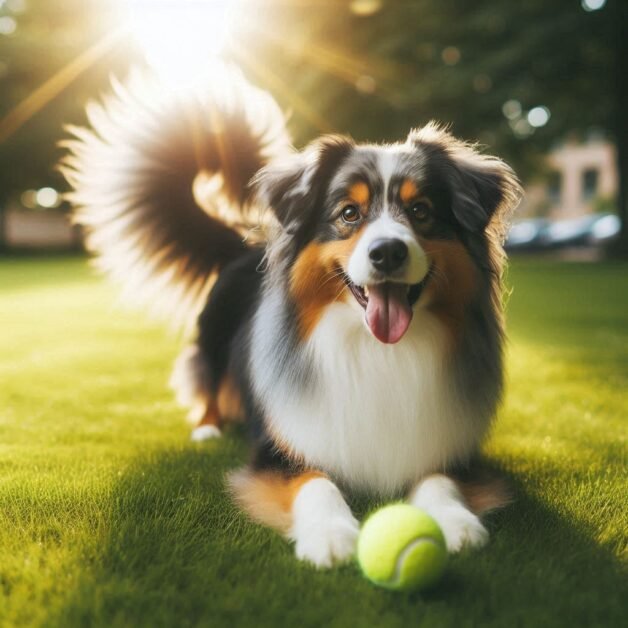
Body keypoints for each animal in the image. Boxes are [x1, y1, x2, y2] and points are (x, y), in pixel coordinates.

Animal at [61, 66, 524, 568]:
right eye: (348, 213)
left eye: (421, 211)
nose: (387, 252)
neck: (374, 350)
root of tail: (242, 244)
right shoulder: (277, 450)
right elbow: (314, 481)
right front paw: (330, 534)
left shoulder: (447, 445)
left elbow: (440, 479)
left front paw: (456, 523)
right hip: (212, 334)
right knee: (206, 374)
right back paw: (207, 427)